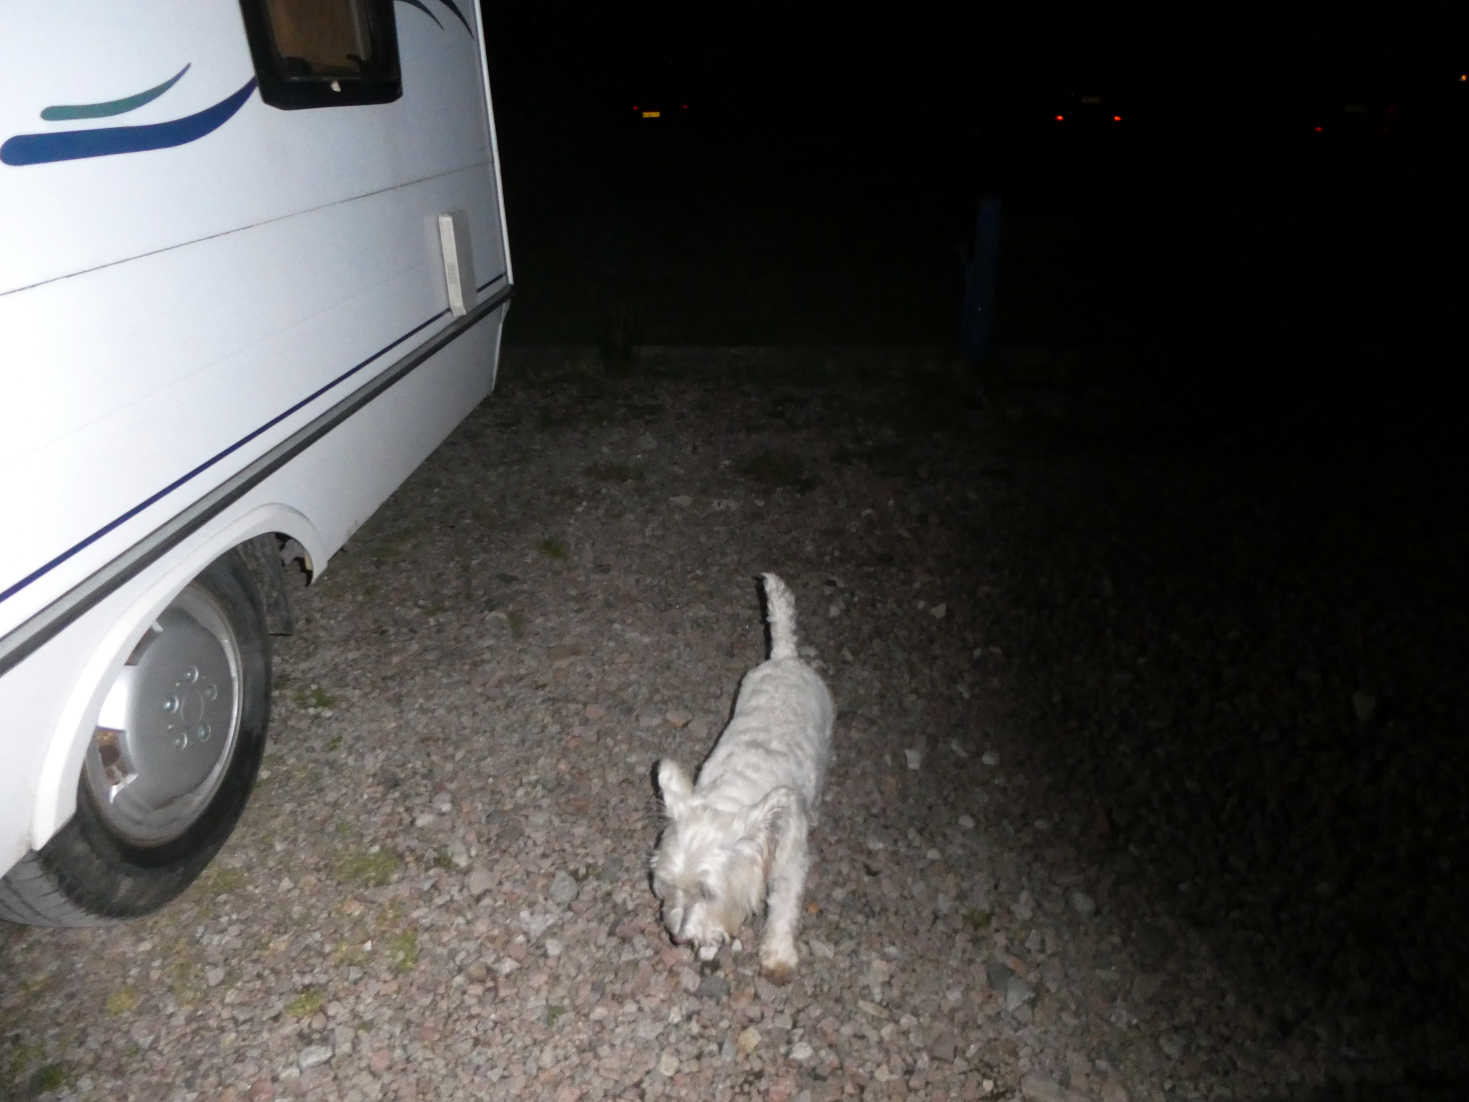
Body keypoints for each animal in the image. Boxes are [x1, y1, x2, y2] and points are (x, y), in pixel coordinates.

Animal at [649, 573, 834, 981]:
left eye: (707, 893)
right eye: (668, 885)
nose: (677, 938)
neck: (732, 796)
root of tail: (785, 657)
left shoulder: (790, 862)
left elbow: (783, 908)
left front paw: (778, 957)